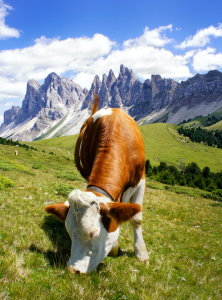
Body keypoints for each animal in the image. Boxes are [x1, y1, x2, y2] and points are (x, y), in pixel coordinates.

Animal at [44, 95, 149, 274]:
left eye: (93, 233)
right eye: (69, 233)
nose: (72, 269)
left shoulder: (140, 180)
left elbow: (137, 219)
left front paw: (141, 254)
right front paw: (115, 247)